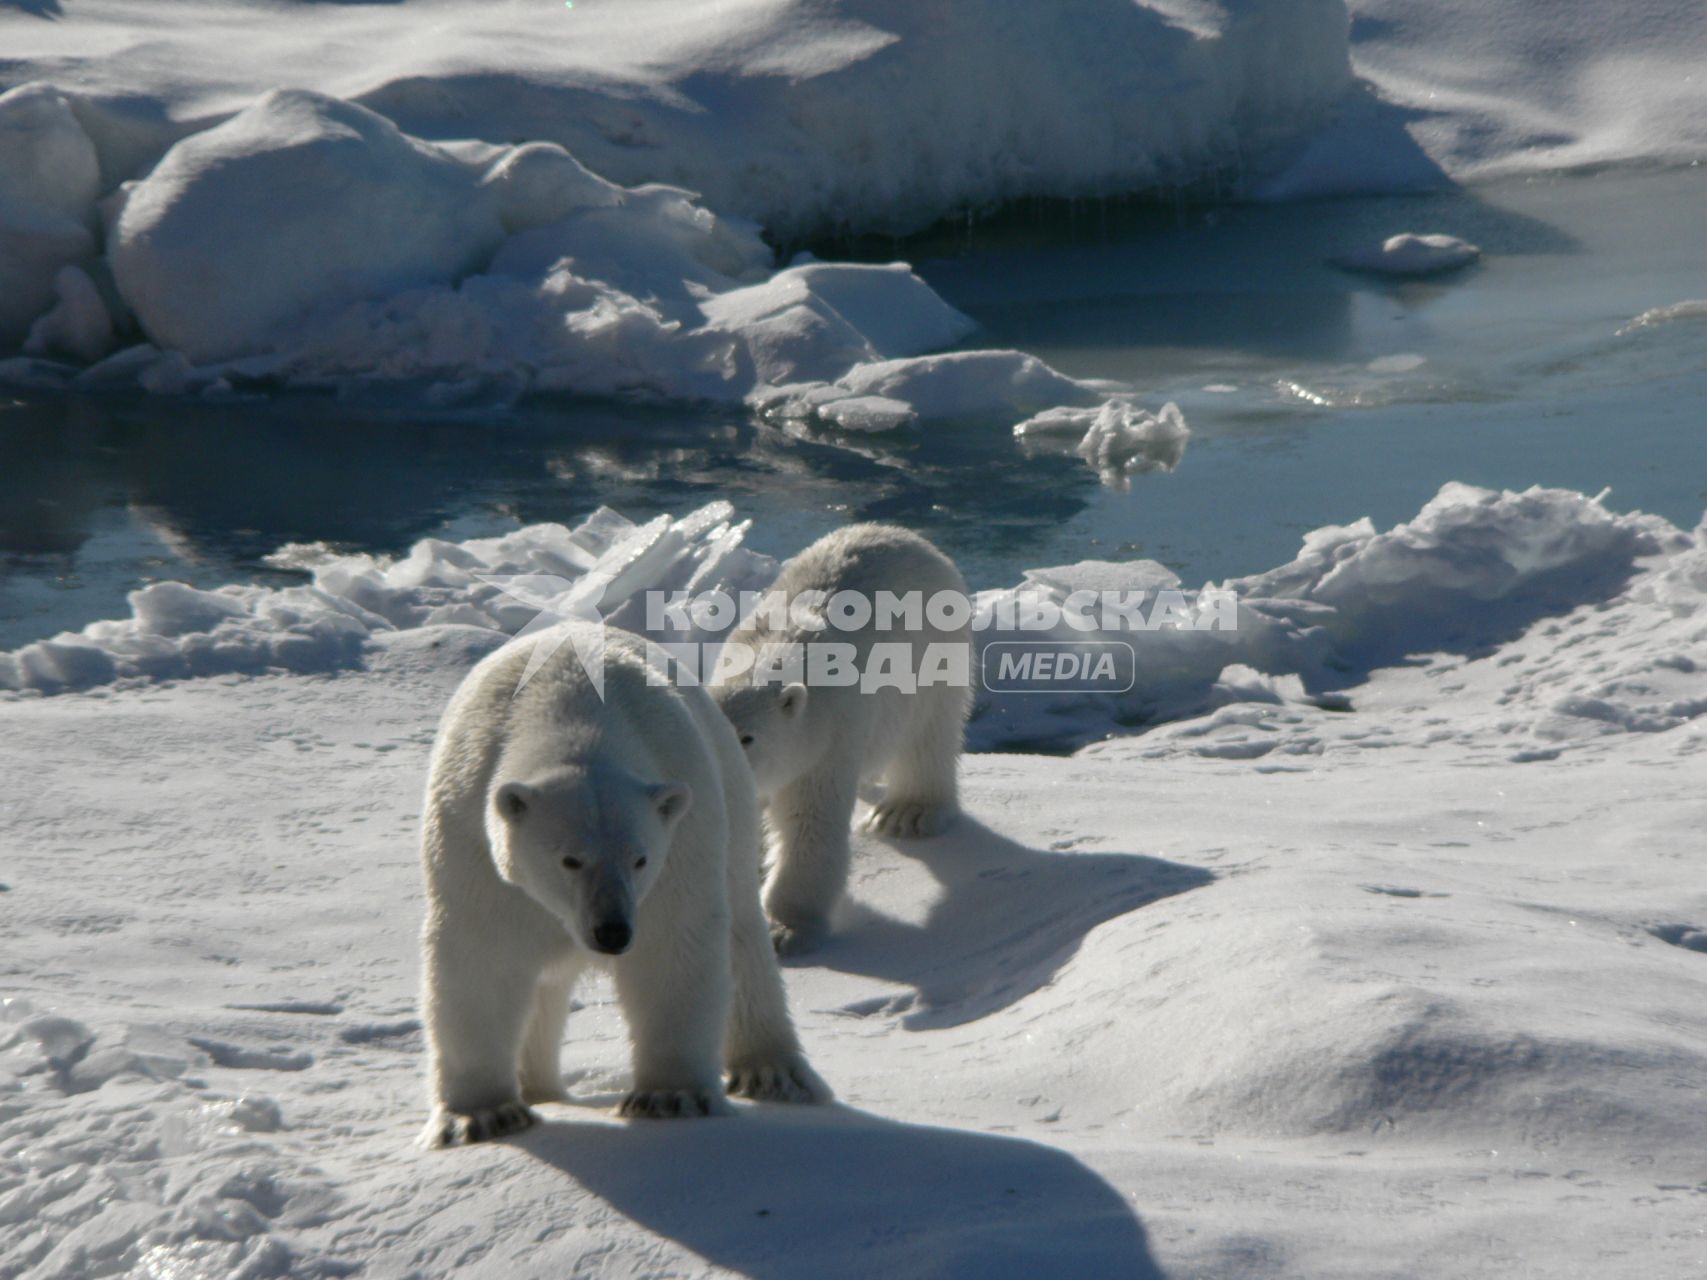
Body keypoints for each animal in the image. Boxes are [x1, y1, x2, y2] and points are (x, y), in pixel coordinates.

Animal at [419, 617, 833, 1146]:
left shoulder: (679, 841)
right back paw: (539, 1088)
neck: (569, 708)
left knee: (742, 934)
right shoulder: (471, 839)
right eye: (569, 859)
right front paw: (482, 1116)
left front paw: (671, 1097)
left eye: (640, 858)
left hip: (729, 797)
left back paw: (771, 1069)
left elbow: (672, 945)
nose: (612, 931)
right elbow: (480, 955)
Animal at [710, 525, 976, 955]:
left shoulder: (827, 737)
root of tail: (910, 536)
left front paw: (785, 929)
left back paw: (907, 814)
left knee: (928, 736)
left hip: (936, 655)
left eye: (748, 736)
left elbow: (810, 824)